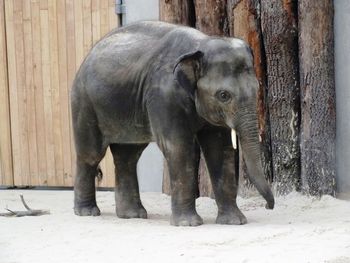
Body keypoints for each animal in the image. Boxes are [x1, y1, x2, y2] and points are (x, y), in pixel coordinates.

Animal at [70, 21, 274, 227]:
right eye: (224, 95)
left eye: (257, 88)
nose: (268, 206)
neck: (201, 43)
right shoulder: (164, 95)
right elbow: (177, 147)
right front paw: (189, 224)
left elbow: (220, 149)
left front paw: (235, 222)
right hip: (84, 103)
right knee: (91, 154)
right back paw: (88, 212)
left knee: (128, 156)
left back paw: (133, 215)